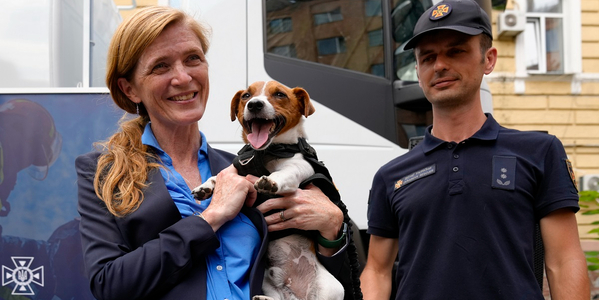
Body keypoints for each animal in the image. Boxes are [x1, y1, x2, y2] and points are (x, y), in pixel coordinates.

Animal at [192, 81, 342, 300]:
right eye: (246, 95)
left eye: (280, 94)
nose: (254, 104)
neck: (266, 152)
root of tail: (298, 293)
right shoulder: (238, 171)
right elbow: (218, 176)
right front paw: (205, 187)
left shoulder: (302, 166)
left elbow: (287, 171)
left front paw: (271, 181)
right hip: (267, 280)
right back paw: (263, 298)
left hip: (331, 287)